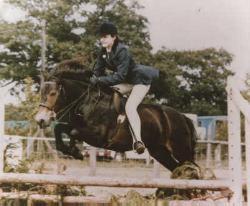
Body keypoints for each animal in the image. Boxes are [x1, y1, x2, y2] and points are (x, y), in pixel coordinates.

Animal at [35, 59, 198, 172]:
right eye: (41, 92)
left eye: (53, 93)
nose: (40, 120)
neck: (87, 102)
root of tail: (183, 118)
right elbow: (59, 129)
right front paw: (73, 151)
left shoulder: (98, 137)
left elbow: (73, 132)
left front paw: (75, 151)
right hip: (159, 151)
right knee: (178, 169)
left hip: (180, 149)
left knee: (191, 169)